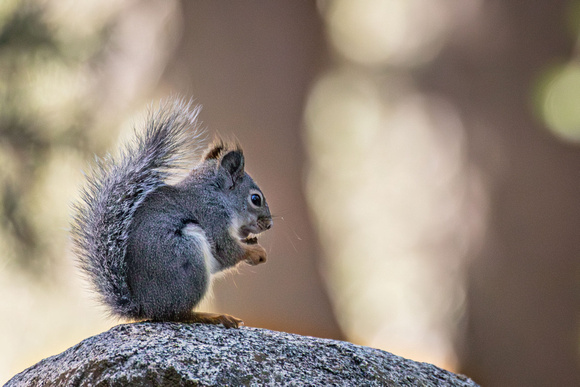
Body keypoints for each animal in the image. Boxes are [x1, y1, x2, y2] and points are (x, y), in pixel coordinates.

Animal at [69, 98, 272, 328]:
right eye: (255, 199)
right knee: (178, 314)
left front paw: (252, 243)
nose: (269, 224)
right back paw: (211, 316)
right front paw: (255, 252)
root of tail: (145, 307)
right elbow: (227, 250)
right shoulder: (212, 217)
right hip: (187, 255)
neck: (216, 195)